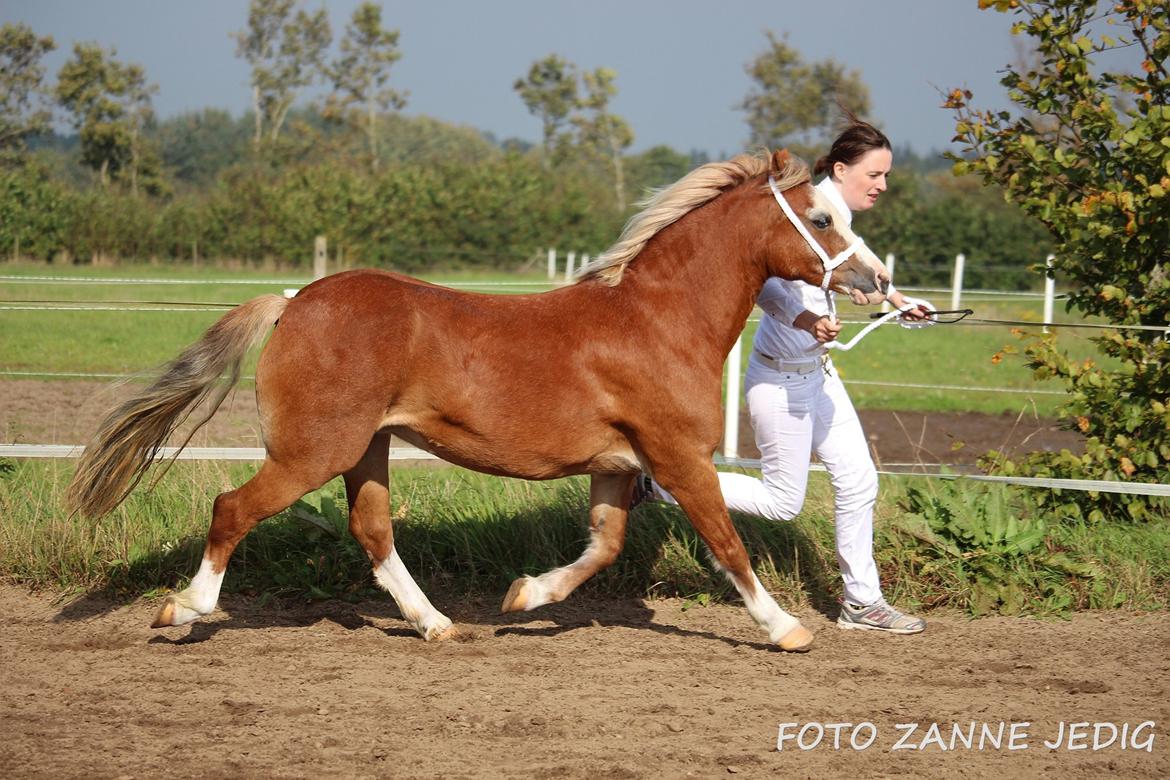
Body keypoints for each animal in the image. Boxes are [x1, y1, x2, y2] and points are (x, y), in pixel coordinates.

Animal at [66, 149, 884, 650]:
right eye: (821, 219)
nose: (875, 280)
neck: (657, 321)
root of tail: (295, 302)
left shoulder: (618, 466)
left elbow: (605, 545)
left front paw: (523, 596)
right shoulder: (680, 457)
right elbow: (726, 543)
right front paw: (787, 628)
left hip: (365, 448)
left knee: (373, 532)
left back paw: (436, 624)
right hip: (314, 451)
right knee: (233, 509)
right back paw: (184, 609)